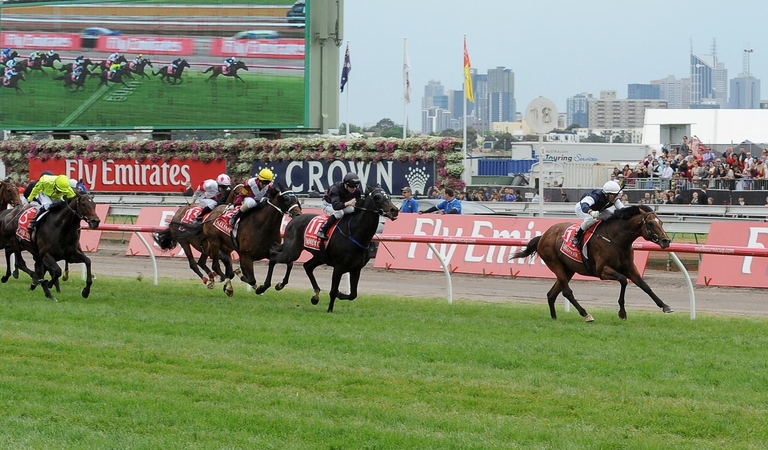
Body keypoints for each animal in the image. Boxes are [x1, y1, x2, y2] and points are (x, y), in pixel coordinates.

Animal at [260, 185, 400, 312]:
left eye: (388, 196)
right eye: (377, 197)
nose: (395, 210)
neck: (355, 233)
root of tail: (296, 217)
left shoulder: (356, 269)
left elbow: (353, 295)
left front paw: (339, 294)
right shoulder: (338, 267)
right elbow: (333, 291)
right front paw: (330, 309)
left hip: (320, 256)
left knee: (307, 266)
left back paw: (314, 296)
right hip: (292, 251)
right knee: (275, 258)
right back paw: (265, 287)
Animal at [512, 206, 676, 322]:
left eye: (661, 222)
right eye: (650, 223)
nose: (666, 241)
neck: (616, 239)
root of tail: (543, 236)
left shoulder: (630, 268)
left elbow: (645, 286)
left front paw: (665, 306)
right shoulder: (602, 271)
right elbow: (623, 280)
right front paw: (622, 312)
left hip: (568, 269)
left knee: (552, 294)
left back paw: (554, 318)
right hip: (555, 264)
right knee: (566, 292)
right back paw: (586, 314)